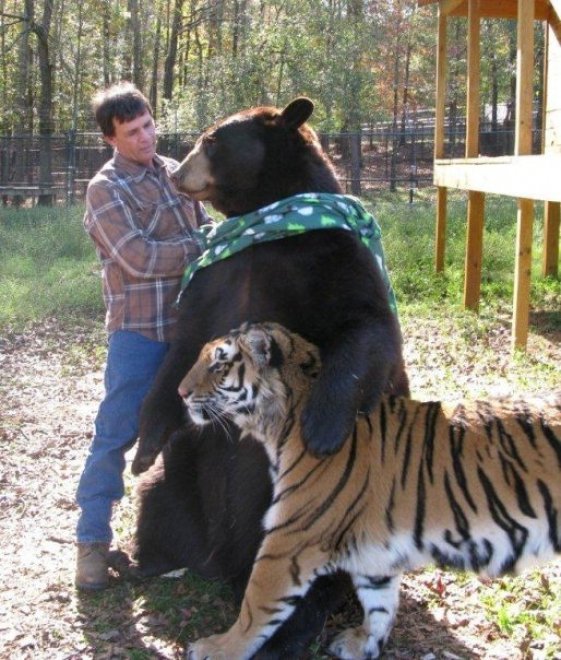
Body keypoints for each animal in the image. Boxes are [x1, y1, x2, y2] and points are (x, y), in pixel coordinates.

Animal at [131, 98, 409, 656]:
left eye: (211, 140)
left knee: (314, 576)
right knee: (155, 501)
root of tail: (221, 564)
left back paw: (290, 630)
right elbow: (183, 346)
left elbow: (366, 325)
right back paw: (142, 561)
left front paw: (319, 429)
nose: (175, 172)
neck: (266, 221)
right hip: (183, 475)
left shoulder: (331, 255)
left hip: (327, 511)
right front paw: (144, 443)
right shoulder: (216, 274)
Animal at [179, 321, 561, 660]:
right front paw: (363, 644)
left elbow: (254, 607)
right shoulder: (375, 548)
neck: (282, 424)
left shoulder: (289, 541)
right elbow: (379, 602)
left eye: (219, 363)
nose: (181, 393)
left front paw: (217, 649)